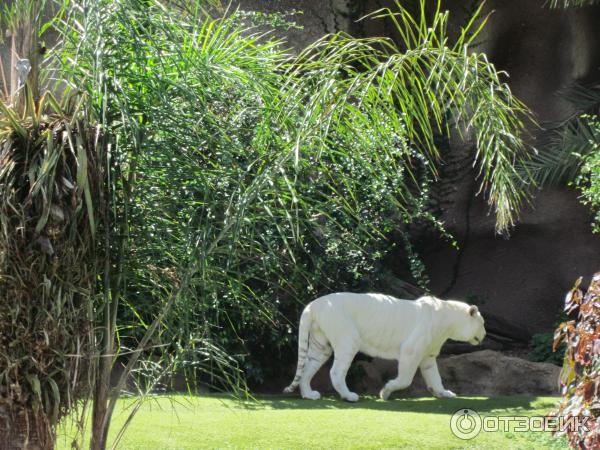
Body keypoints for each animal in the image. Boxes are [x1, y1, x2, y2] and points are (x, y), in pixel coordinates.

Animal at [284, 294, 486, 402]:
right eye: (482, 323)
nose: (484, 335)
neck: (449, 324)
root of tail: (313, 304)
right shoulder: (411, 351)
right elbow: (405, 379)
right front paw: (385, 392)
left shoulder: (428, 356)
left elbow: (435, 378)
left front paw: (443, 393)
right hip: (348, 340)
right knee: (335, 372)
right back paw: (349, 396)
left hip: (320, 346)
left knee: (307, 369)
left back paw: (309, 395)